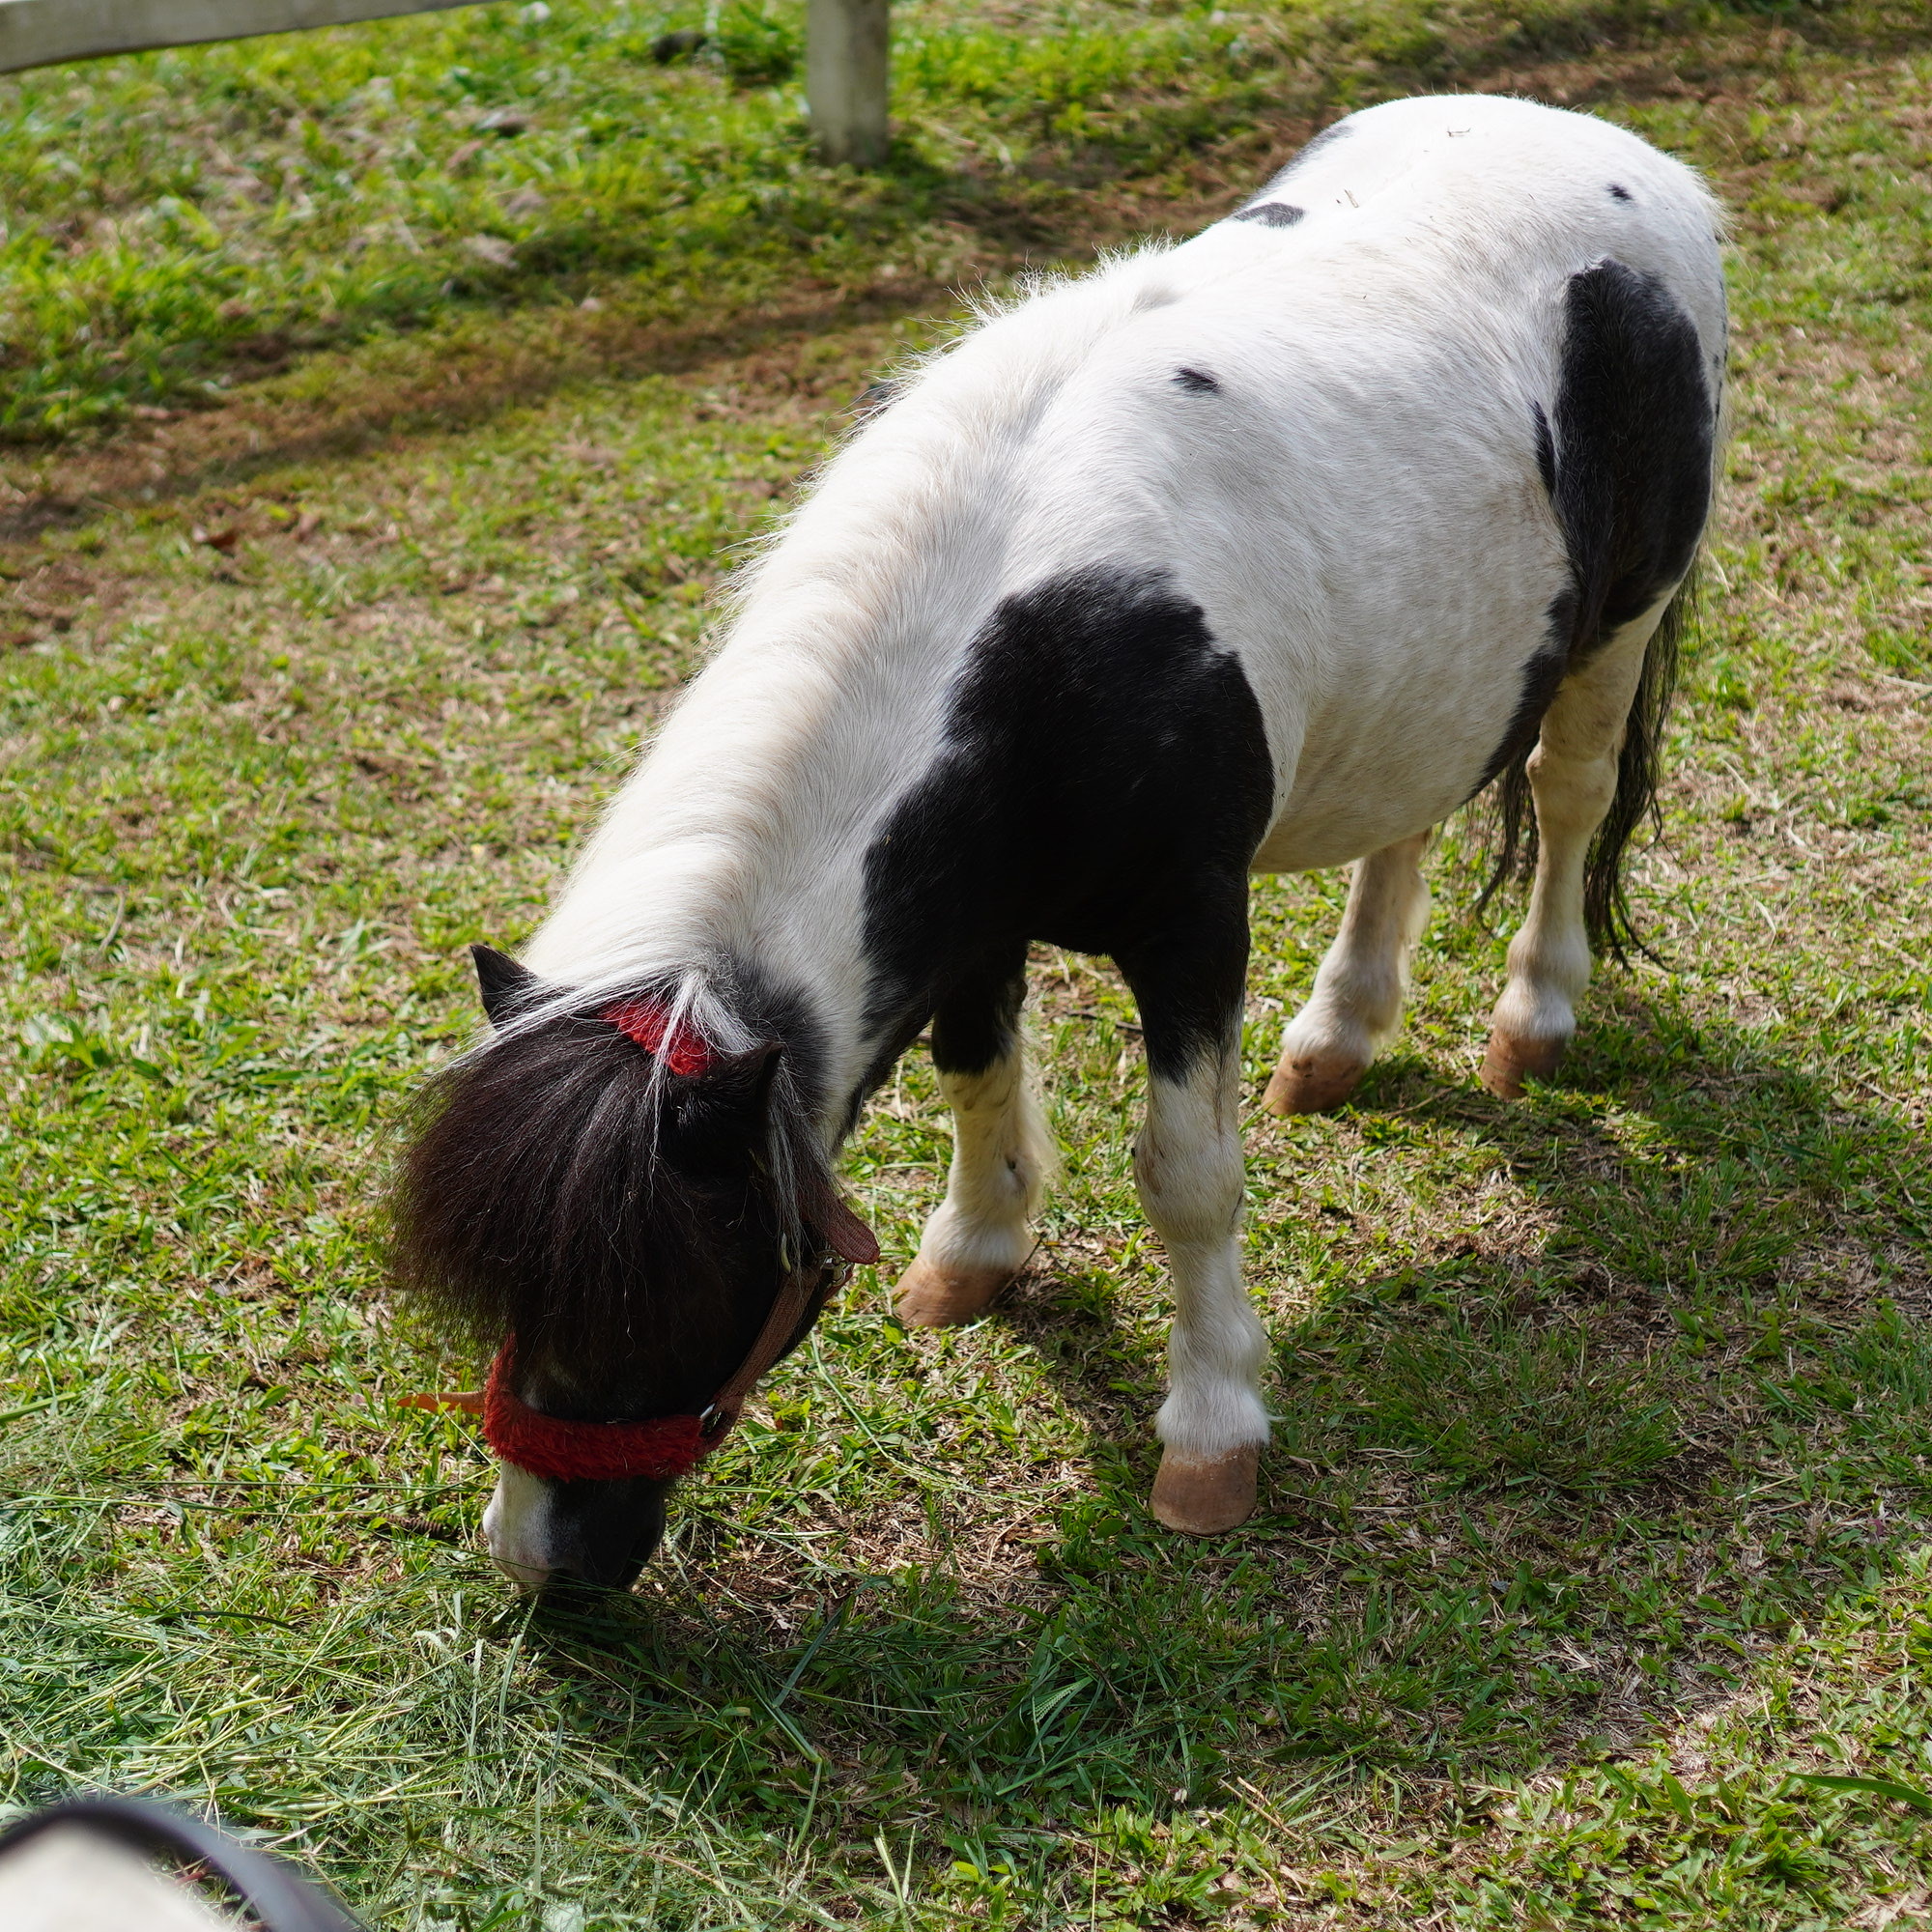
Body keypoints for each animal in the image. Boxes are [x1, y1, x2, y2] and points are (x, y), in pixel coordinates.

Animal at [392, 92, 1727, 1588]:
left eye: (655, 1297)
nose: (539, 1564)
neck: (1038, 645)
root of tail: (1615, 151)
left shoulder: (1191, 927)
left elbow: (1186, 1177)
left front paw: (1209, 1433)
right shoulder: (965, 911)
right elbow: (974, 1074)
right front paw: (974, 1251)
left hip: (1622, 621)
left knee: (1565, 794)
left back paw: (1532, 1014)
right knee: (1414, 814)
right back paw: (1338, 1035)